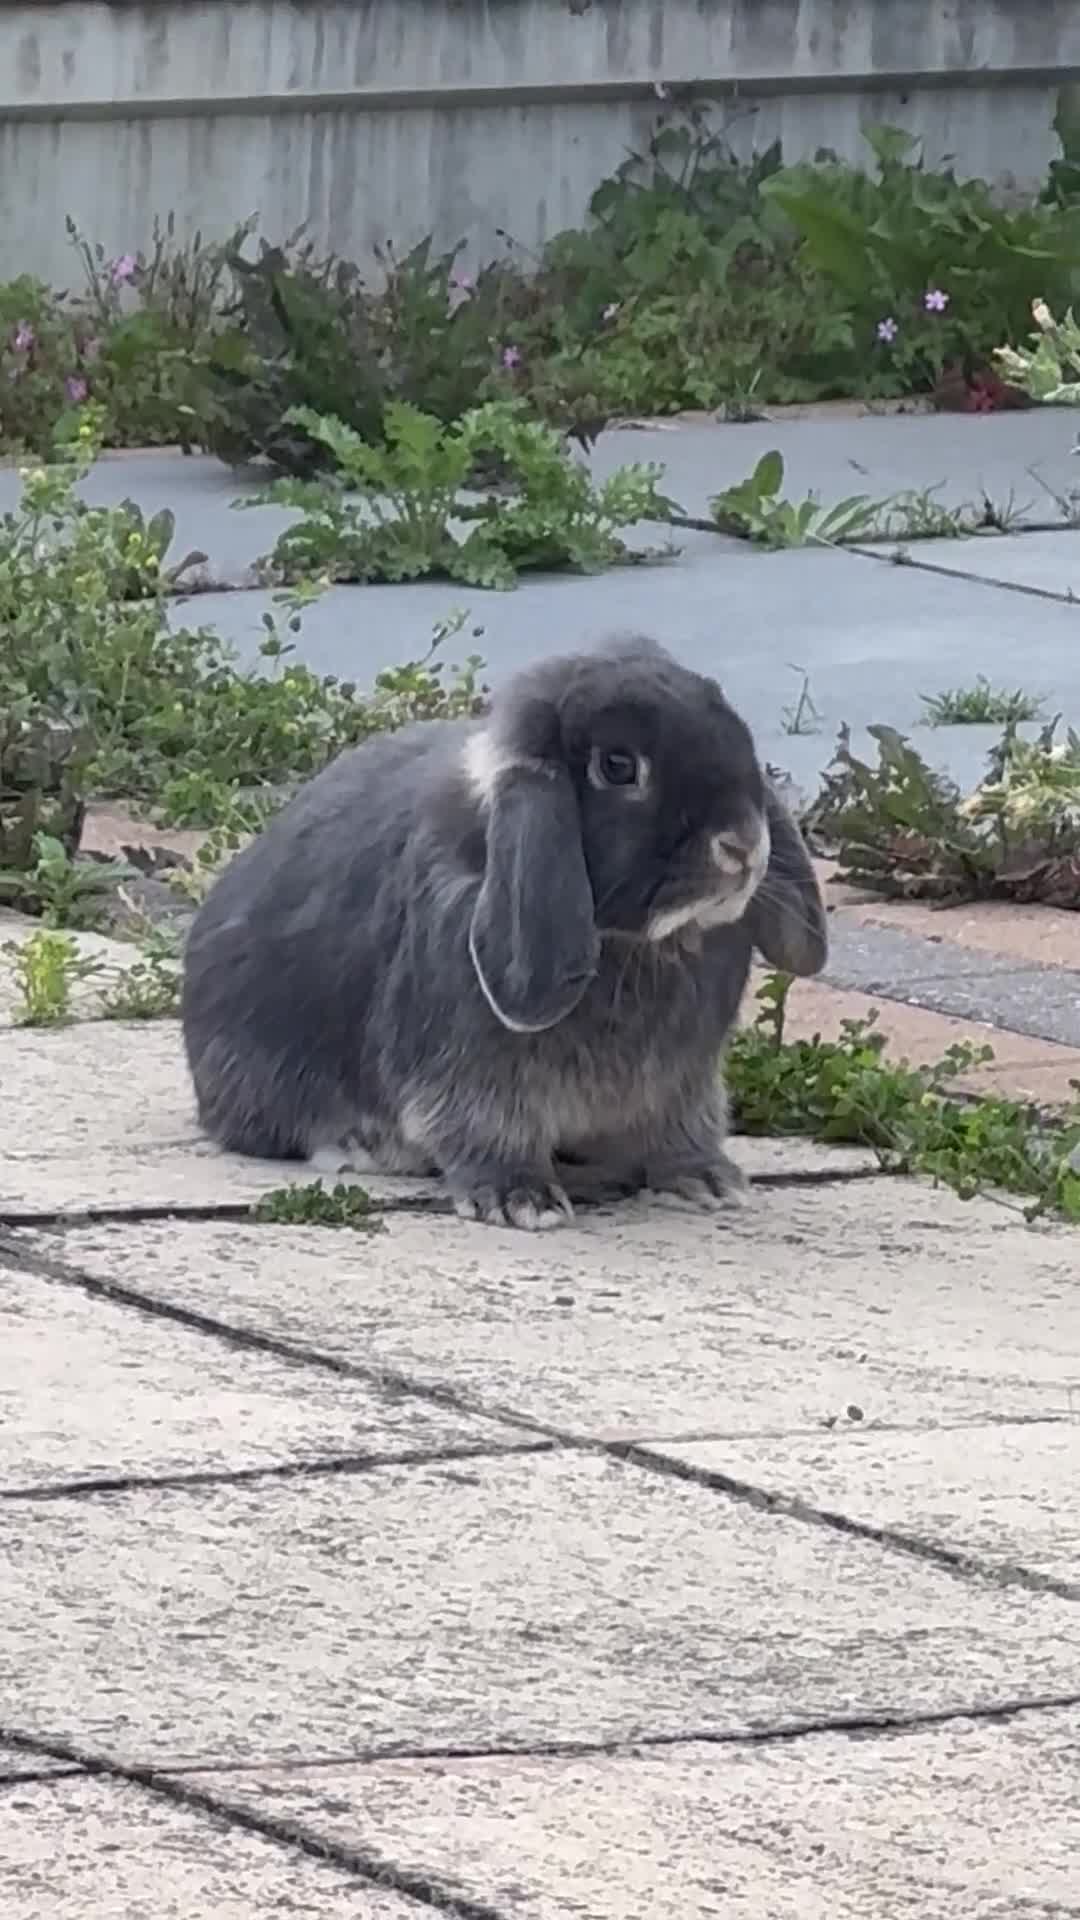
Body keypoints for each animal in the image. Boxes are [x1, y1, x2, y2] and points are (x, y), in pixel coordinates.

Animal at [181, 635, 827, 1230]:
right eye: (617, 766)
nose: (742, 844)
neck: (637, 943)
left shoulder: (682, 1084)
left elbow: (680, 1130)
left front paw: (708, 1180)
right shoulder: (470, 1070)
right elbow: (485, 1130)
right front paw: (522, 1201)